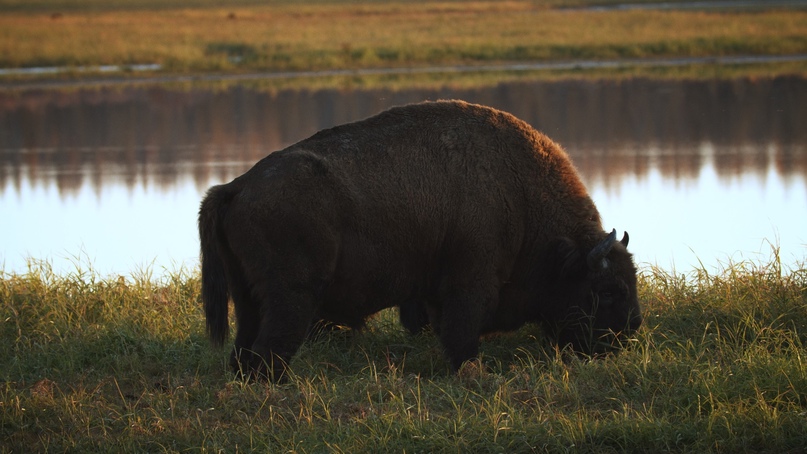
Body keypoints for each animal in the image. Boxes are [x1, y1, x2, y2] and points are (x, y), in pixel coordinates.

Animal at [199, 99, 640, 380]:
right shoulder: (471, 283)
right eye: (607, 290)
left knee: (244, 352)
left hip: (248, 300)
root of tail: (236, 186)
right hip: (291, 298)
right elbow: (462, 333)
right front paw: (470, 371)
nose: (631, 330)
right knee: (269, 352)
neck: (520, 194)